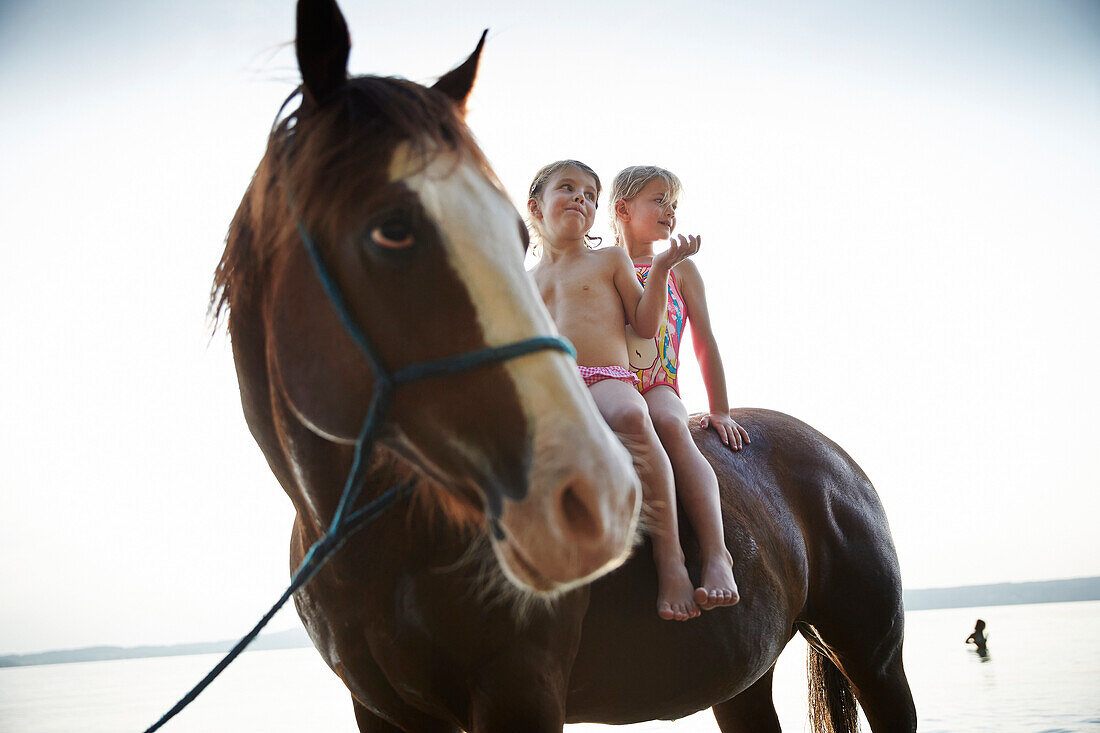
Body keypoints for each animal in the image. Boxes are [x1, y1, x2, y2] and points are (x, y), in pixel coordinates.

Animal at [214, 1, 919, 730]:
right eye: (392, 229)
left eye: (511, 230)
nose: (592, 497)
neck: (379, 545)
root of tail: (836, 458)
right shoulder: (379, 709)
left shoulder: (520, 687)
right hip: (741, 681)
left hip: (873, 654)